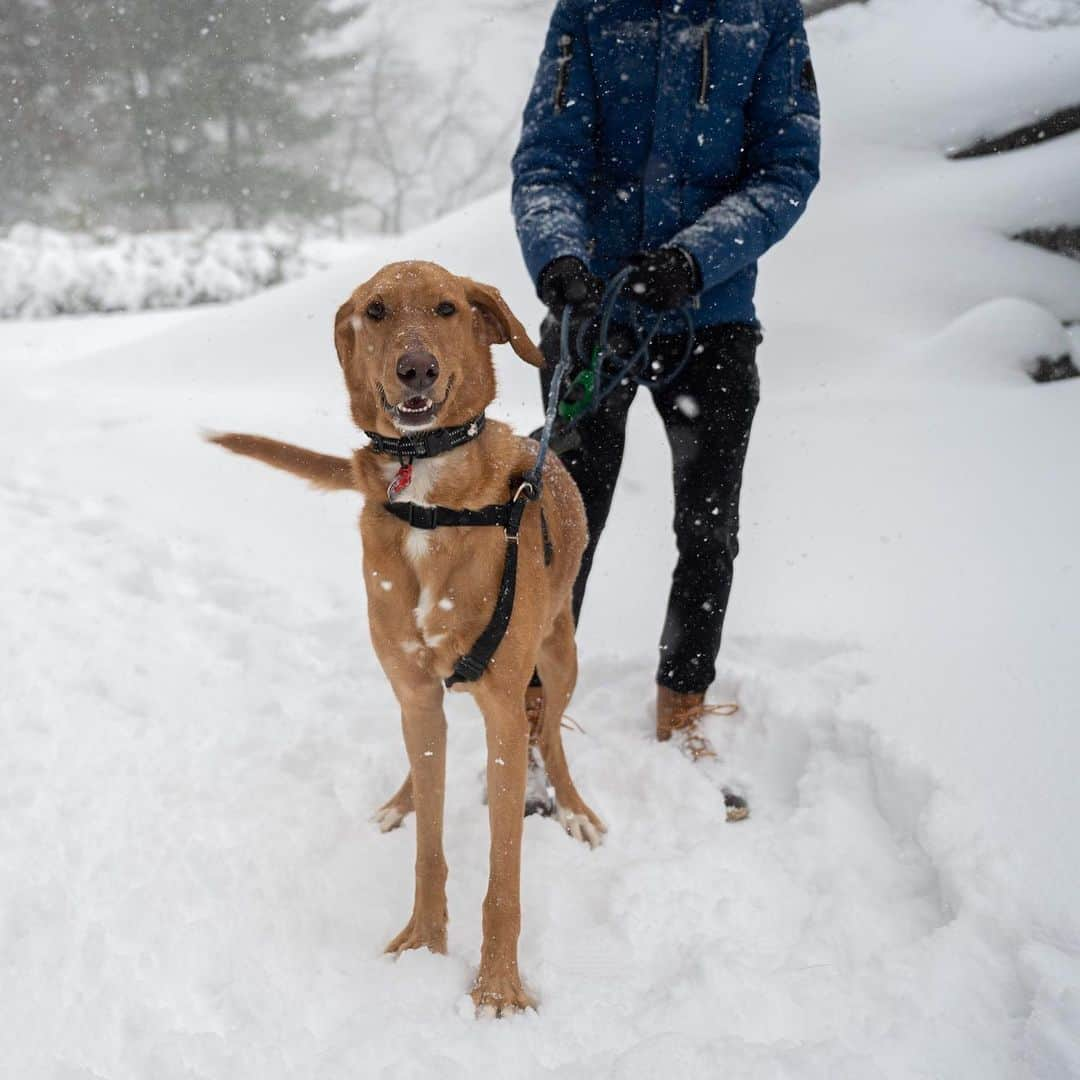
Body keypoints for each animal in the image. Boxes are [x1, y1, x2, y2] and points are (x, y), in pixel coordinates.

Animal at [206, 259, 604, 1010]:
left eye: (447, 308)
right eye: (377, 311)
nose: (415, 368)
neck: (428, 498)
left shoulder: (503, 709)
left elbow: (504, 873)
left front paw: (498, 986)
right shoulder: (417, 692)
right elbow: (429, 850)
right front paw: (423, 941)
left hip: (560, 656)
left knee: (551, 733)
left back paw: (573, 807)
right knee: (431, 766)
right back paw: (401, 800)